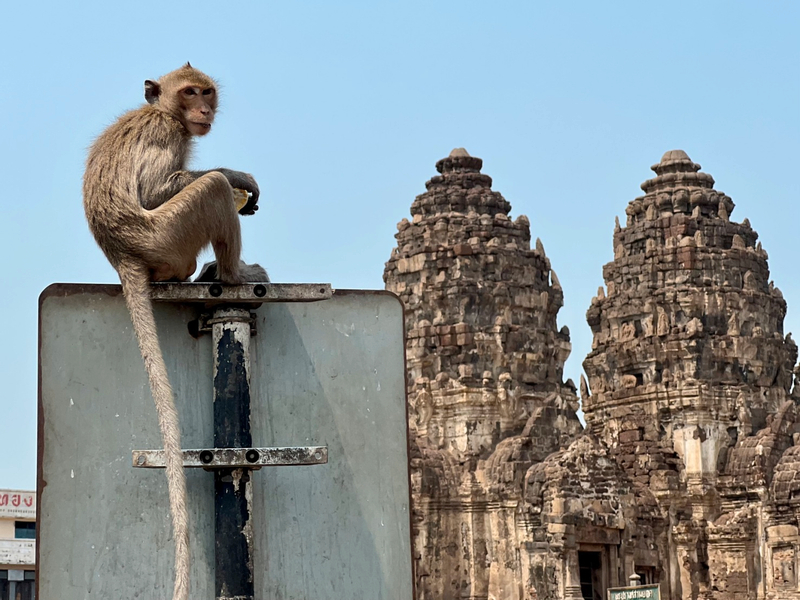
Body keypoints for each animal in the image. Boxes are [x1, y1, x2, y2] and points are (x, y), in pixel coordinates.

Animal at [82, 63, 266, 600]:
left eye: (207, 93)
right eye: (189, 93)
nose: (204, 109)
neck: (164, 112)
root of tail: (123, 256)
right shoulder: (165, 135)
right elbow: (157, 190)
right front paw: (237, 176)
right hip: (167, 237)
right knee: (208, 193)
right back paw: (234, 273)